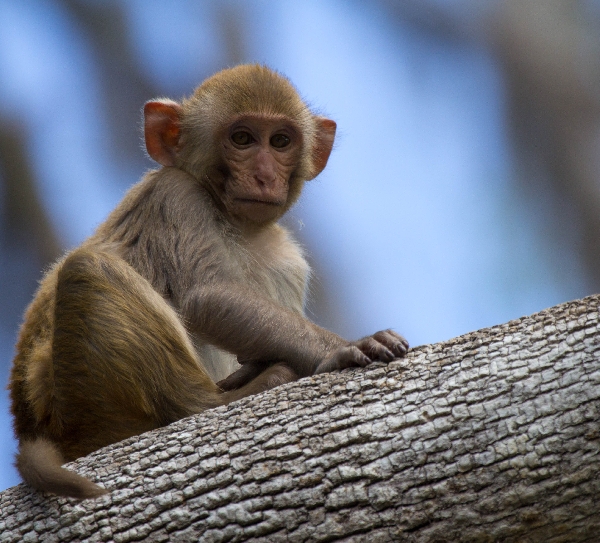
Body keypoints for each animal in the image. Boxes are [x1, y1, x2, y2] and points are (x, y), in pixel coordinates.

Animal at [8, 62, 408, 498]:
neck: (239, 226)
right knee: (90, 269)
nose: (264, 175)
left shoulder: (287, 262)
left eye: (280, 141)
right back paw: (216, 400)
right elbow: (208, 297)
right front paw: (340, 348)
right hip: (81, 403)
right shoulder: (177, 195)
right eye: (242, 139)